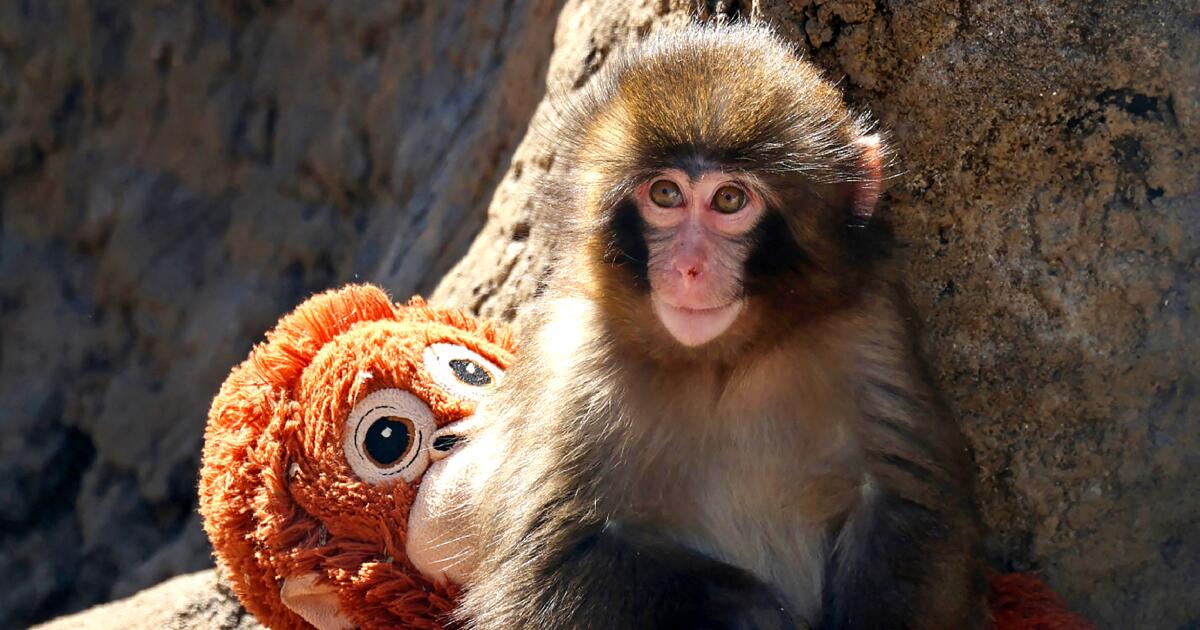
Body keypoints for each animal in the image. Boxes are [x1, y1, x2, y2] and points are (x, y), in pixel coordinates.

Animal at [449, 22, 988, 630]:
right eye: (665, 194)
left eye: (729, 199)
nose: (689, 267)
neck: (722, 360)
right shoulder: (572, 361)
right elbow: (547, 564)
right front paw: (752, 610)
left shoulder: (870, 327)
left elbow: (908, 505)